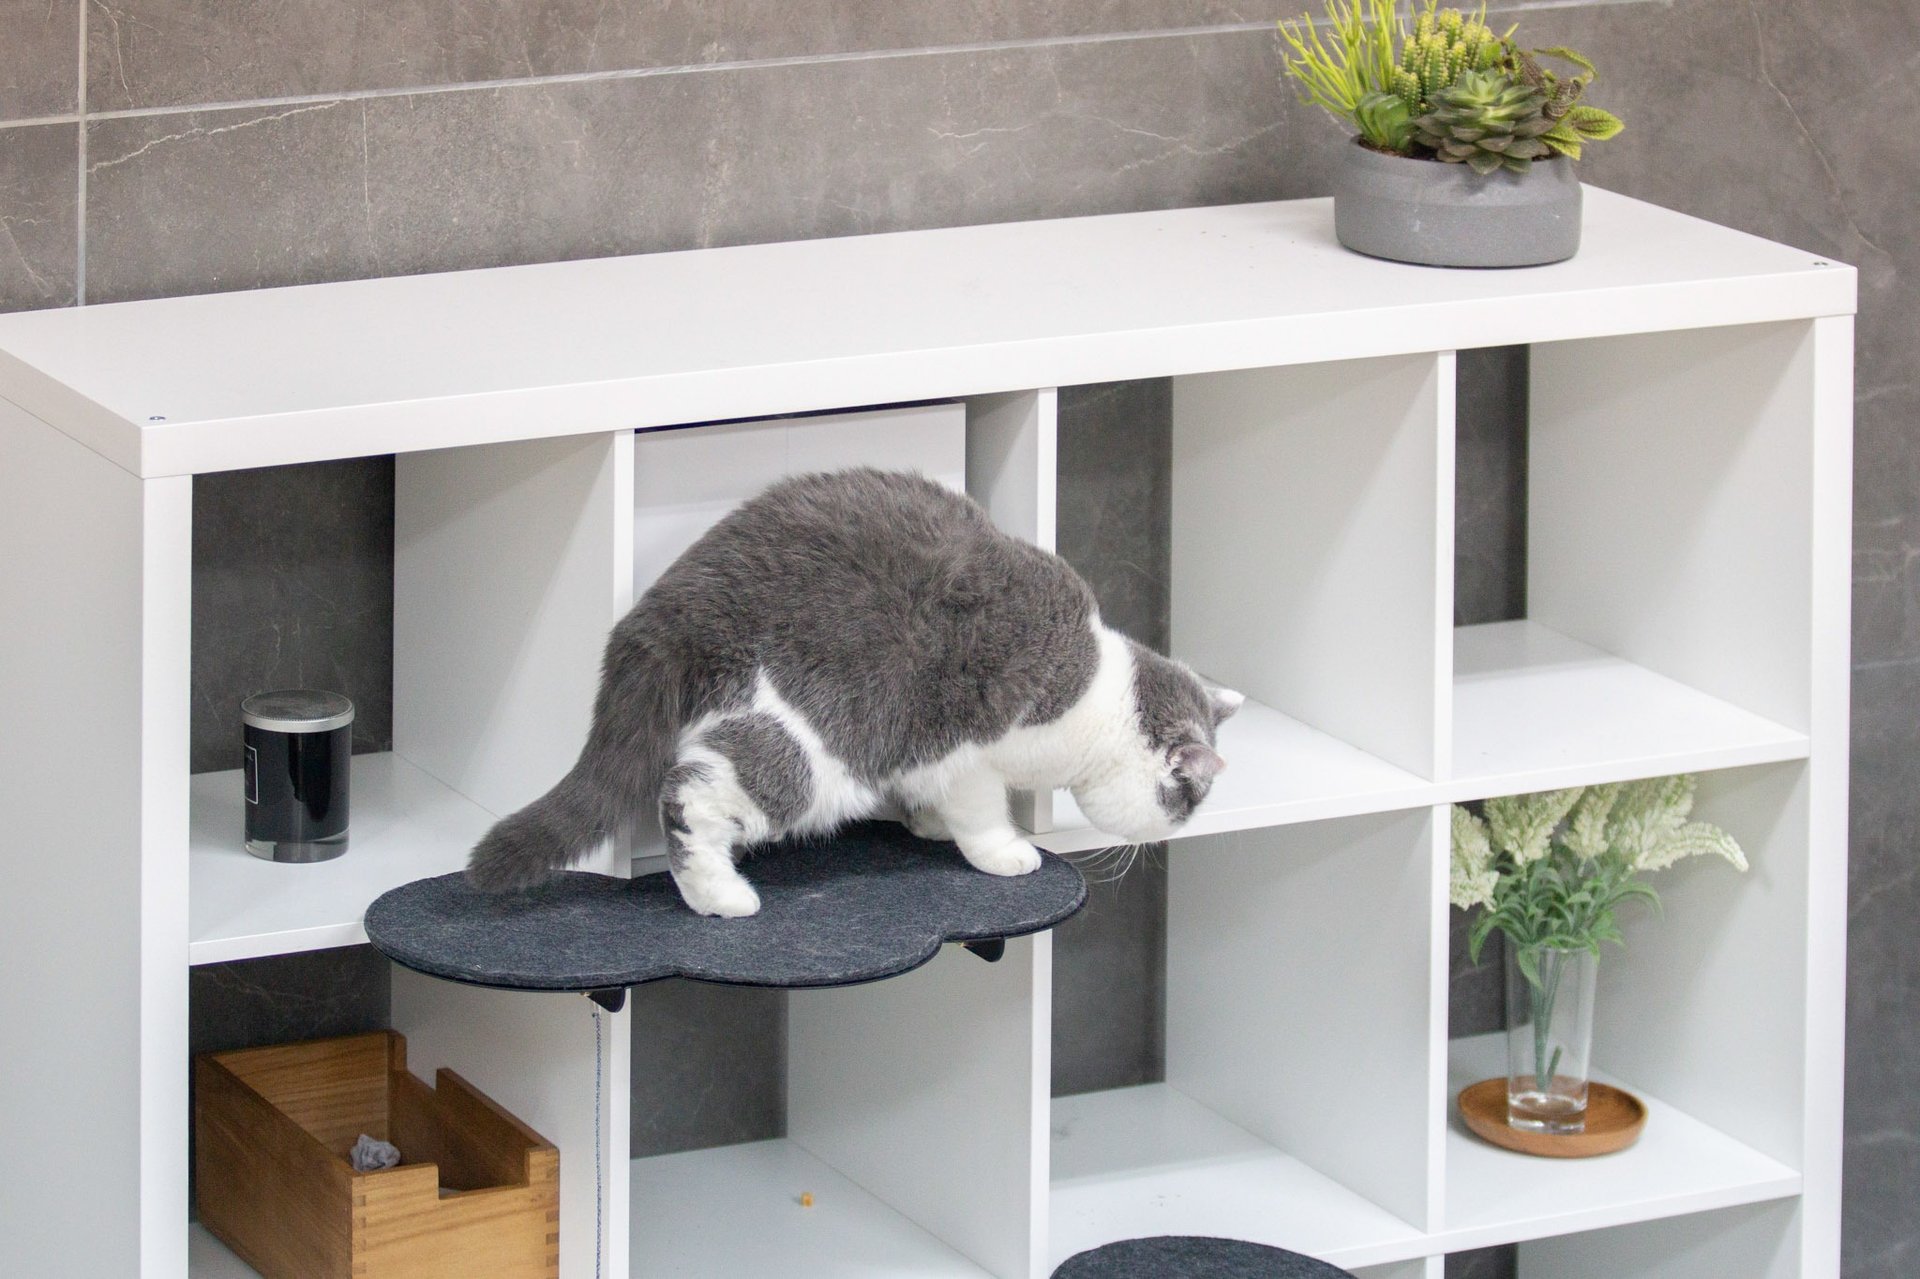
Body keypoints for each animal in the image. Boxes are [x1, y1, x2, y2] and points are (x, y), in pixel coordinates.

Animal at [472, 462, 1236, 910]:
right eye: (1190, 798)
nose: (1175, 834)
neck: (1093, 694)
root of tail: (669, 607)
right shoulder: (967, 752)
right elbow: (982, 812)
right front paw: (1004, 851)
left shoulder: (927, 758)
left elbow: (931, 799)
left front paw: (925, 824)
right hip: (810, 747)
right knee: (690, 795)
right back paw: (720, 896)